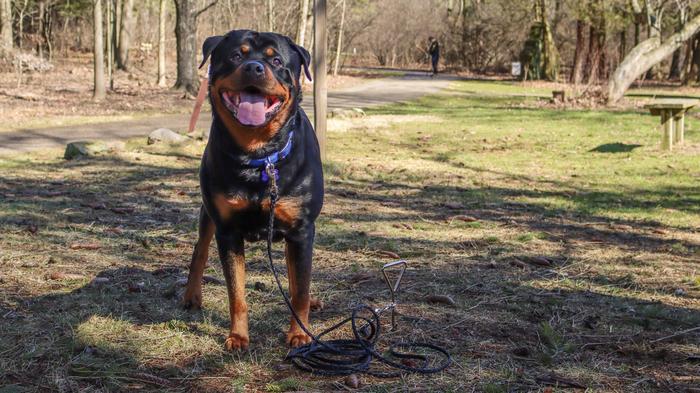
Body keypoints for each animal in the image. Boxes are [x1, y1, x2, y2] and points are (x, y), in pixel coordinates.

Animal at [180, 29, 322, 350]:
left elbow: (301, 287)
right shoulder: (228, 230)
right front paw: (238, 336)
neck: (259, 157)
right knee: (199, 251)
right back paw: (191, 295)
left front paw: (299, 333)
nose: (254, 68)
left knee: (296, 274)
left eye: (276, 60)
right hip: (208, 215)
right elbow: (236, 293)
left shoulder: (301, 229)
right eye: (236, 55)